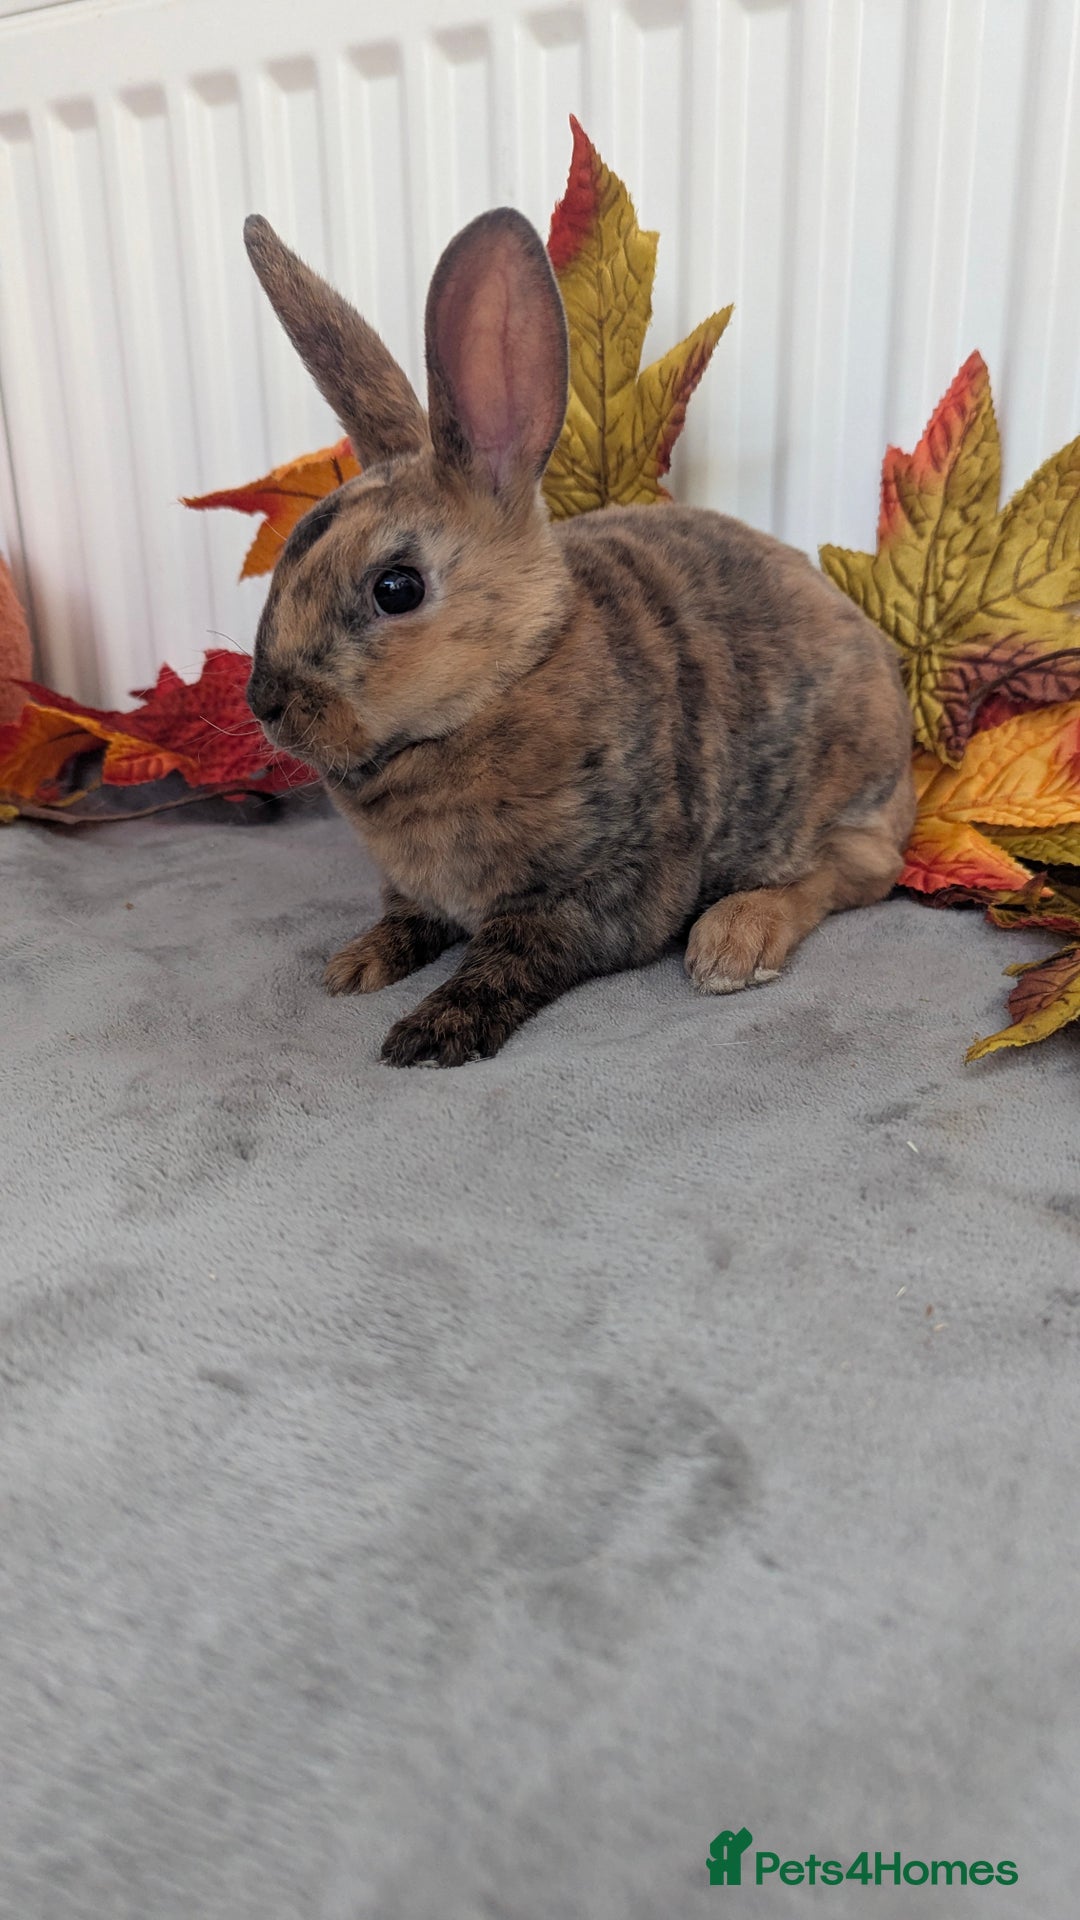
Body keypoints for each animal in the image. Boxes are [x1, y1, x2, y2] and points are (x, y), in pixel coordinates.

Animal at [243, 205, 915, 1068]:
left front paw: (430, 1032)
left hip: (833, 805)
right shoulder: (418, 888)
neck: (503, 686)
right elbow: (408, 920)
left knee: (852, 873)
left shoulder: (600, 887)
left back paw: (733, 943)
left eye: (396, 588)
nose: (266, 703)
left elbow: (514, 955)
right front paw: (357, 965)